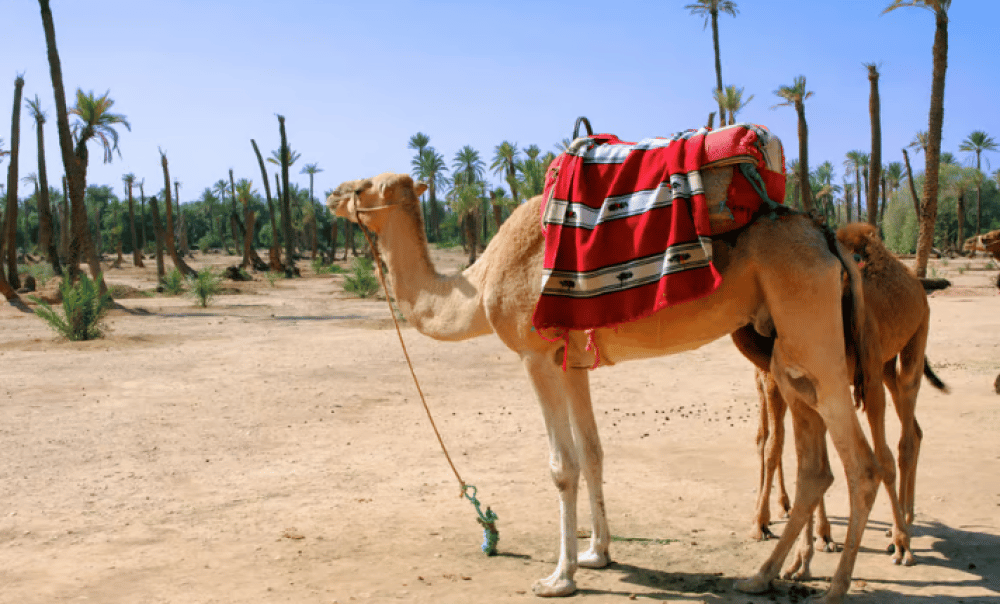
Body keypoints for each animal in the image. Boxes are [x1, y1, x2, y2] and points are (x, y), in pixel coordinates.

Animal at [328, 172, 884, 603]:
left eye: (364, 186)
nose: (332, 194)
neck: (481, 284)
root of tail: (828, 239)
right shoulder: (573, 362)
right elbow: (593, 452)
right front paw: (598, 553)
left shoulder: (535, 355)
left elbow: (562, 465)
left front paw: (560, 577)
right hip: (785, 350)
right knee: (816, 466)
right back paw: (761, 576)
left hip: (813, 332)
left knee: (862, 464)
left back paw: (835, 588)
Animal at [734, 222, 948, 576]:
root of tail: (916, 283)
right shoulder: (799, 381)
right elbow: (797, 454)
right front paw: (804, 553)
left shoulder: (860, 373)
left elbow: (878, 458)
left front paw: (900, 545)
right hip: (884, 365)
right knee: (912, 430)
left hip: (914, 340)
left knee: (905, 436)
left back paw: (903, 532)